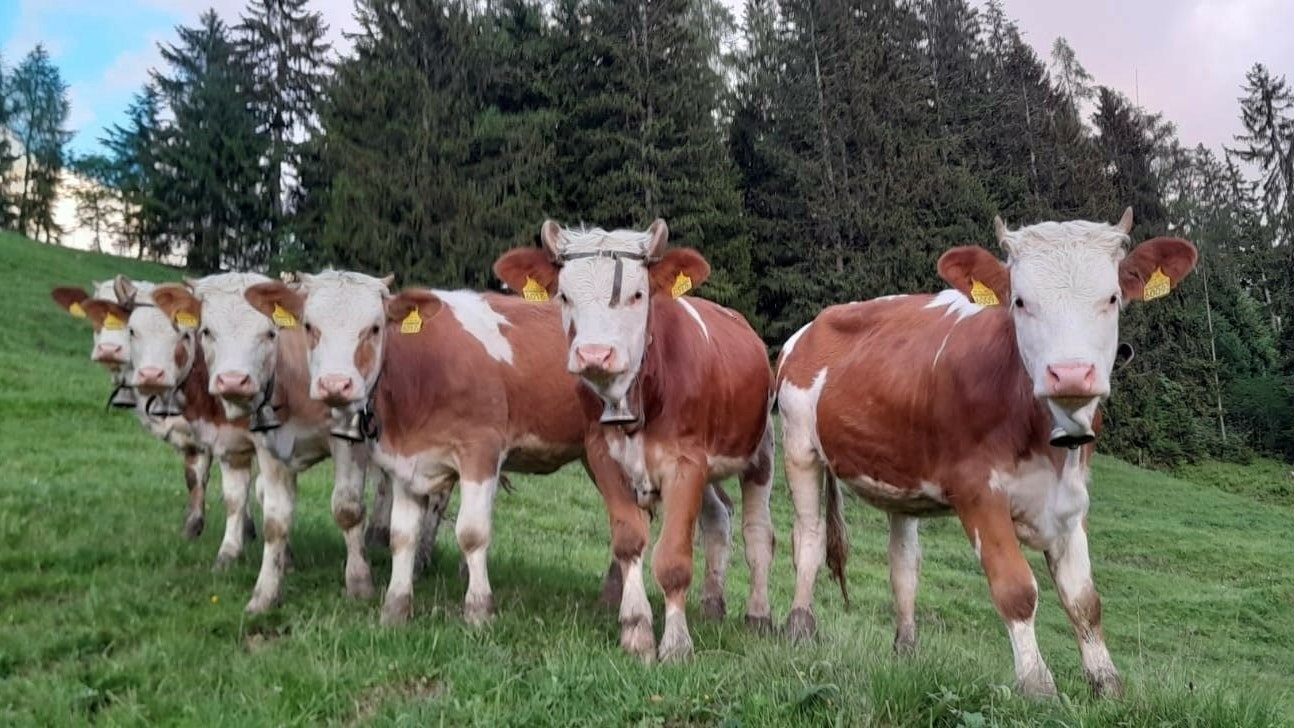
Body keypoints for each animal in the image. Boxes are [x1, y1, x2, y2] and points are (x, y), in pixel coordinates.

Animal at [51, 278, 218, 541]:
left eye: (182, 333)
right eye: (132, 330)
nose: (109, 349)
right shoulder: (193, 438)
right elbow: (195, 478)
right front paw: (192, 528)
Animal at [239, 270, 734, 647]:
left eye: (374, 328)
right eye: (308, 326)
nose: (334, 385)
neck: (421, 370)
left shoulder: (480, 449)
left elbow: (472, 534)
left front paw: (479, 610)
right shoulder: (404, 461)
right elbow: (401, 537)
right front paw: (395, 606)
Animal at [493, 219, 776, 662]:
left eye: (638, 294)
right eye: (564, 295)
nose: (595, 354)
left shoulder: (685, 464)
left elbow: (673, 559)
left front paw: (676, 645)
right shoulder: (603, 458)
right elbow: (629, 542)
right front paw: (636, 630)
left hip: (760, 451)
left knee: (759, 533)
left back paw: (758, 615)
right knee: (718, 518)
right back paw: (712, 605)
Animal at [774, 209, 1197, 697]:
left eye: (1112, 298)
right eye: (1020, 301)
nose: (1071, 373)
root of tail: (815, 324)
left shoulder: (1073, 500)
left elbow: (1084, 600)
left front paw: (1107, 685)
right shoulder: (977, 492)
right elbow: (1017, 590)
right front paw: (1037, 686)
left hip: (900, 476)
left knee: (903, 565)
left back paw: (906, 652)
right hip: (799, 444)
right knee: (808, 538)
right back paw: (800, 628)